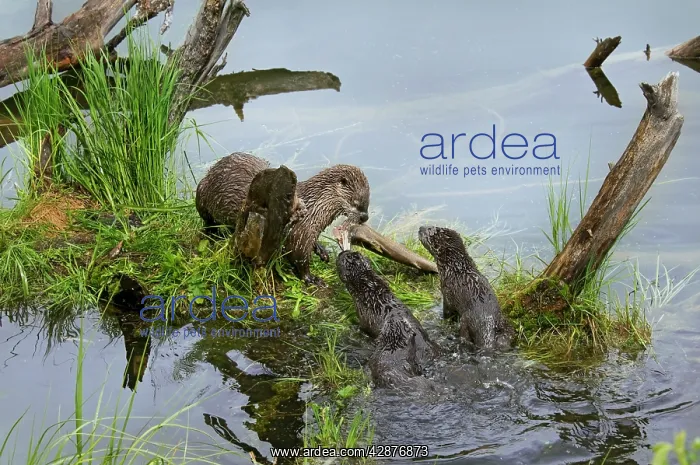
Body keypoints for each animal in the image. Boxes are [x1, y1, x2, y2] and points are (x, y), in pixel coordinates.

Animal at [195, 152, 370, 284]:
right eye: (356, 202)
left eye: (367, 202)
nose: (365, 217)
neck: (313, 208)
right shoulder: (299, 234)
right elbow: (299, 260)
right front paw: (312, 278)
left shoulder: (309, 231)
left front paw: (321, 250)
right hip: (201, 192)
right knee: (207, 221)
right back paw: (211, 234)